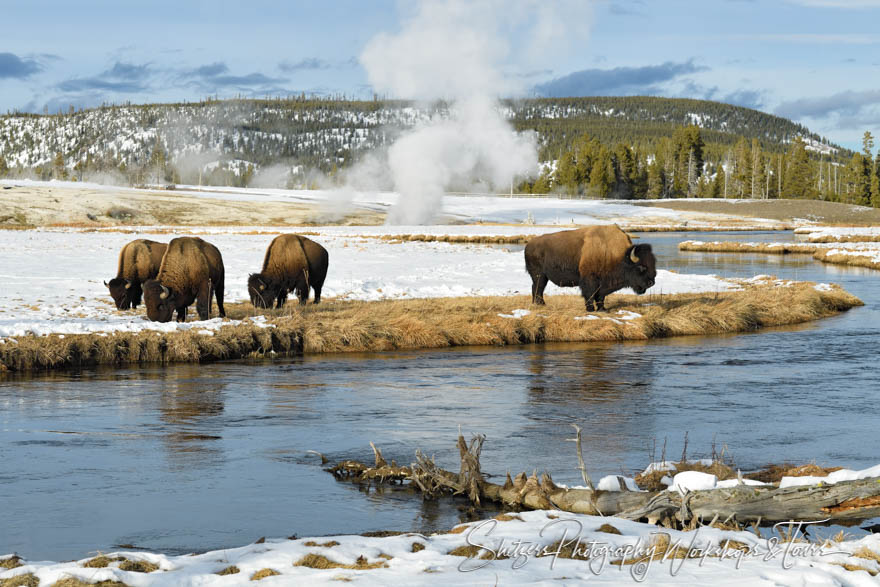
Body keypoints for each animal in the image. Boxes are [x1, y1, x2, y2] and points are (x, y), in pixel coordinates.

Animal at [524, 225, 652, 312]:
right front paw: (590, 309)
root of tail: (528, 245)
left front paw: (602, 309)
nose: (651, 282)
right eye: (641, 267)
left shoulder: (603, 284)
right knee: (538, 288)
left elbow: (600, 297)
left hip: (542, 277)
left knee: (536, 288)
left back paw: (538, 304)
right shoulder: (590, 280)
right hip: (540, 276)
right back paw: (541, 304)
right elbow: (590, 294)